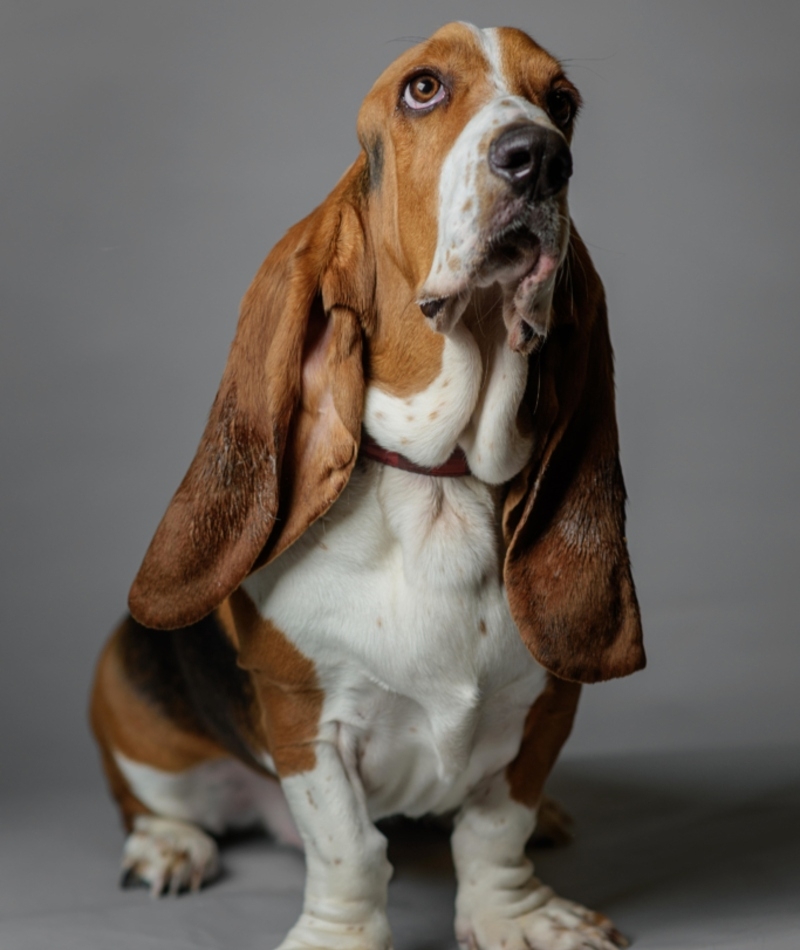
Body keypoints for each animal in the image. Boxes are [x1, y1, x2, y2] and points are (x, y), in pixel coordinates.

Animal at [92, 22, 644, 950]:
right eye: (422, 89)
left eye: (562, 102)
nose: (539, 157)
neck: (439, 483)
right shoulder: (307, 722)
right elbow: (347, 848)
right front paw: (340, 937)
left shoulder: (542, 711)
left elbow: (495, 829)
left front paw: (517, 917)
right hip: (128, 702)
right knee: (150, 801)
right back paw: (168, 845)